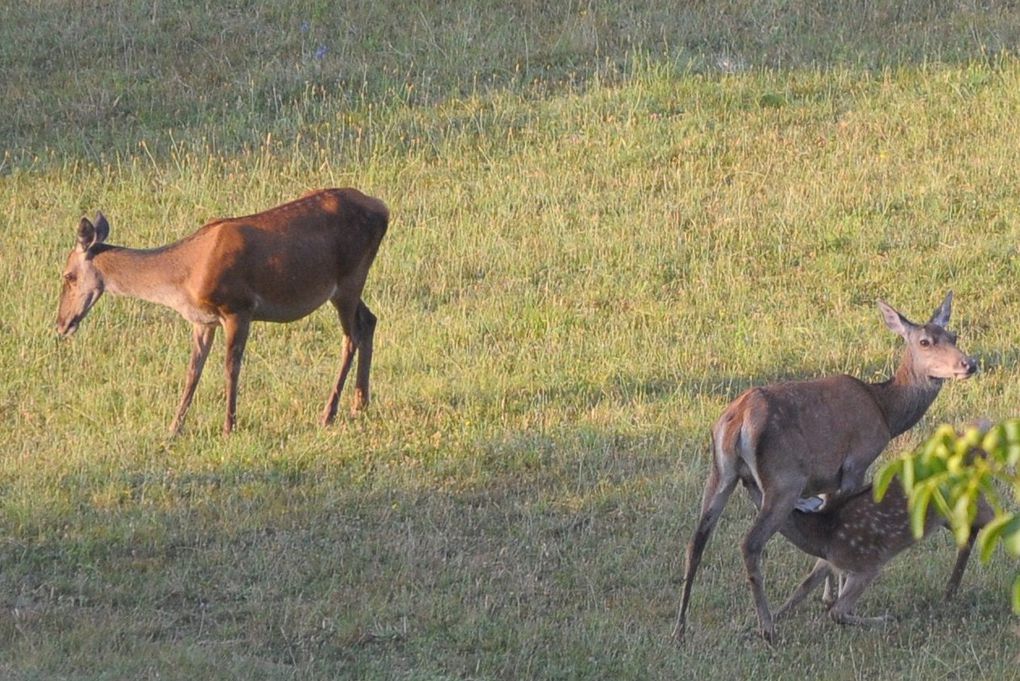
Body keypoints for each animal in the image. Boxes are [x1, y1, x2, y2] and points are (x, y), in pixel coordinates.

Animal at [56, 188, 389, 434]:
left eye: (68, 276)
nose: (60, 324)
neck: (183, 278)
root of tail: (383, 209)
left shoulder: (238, 307)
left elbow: (231, 366)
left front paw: (229, 426)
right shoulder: (203, 321)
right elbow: (193, 371)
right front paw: (174, 427)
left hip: (349, 279)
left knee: (351, 337)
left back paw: (329, 413)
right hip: (348, 287)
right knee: (369, 320)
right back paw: (360, 403)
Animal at [746, 473, 991, 627]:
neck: (823, 536)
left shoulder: (867, 564)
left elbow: (837, 612)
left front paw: (884, 620)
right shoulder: (831, 561)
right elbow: (803, 587)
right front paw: (765, 621)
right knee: (970, 532)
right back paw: (950, 590)